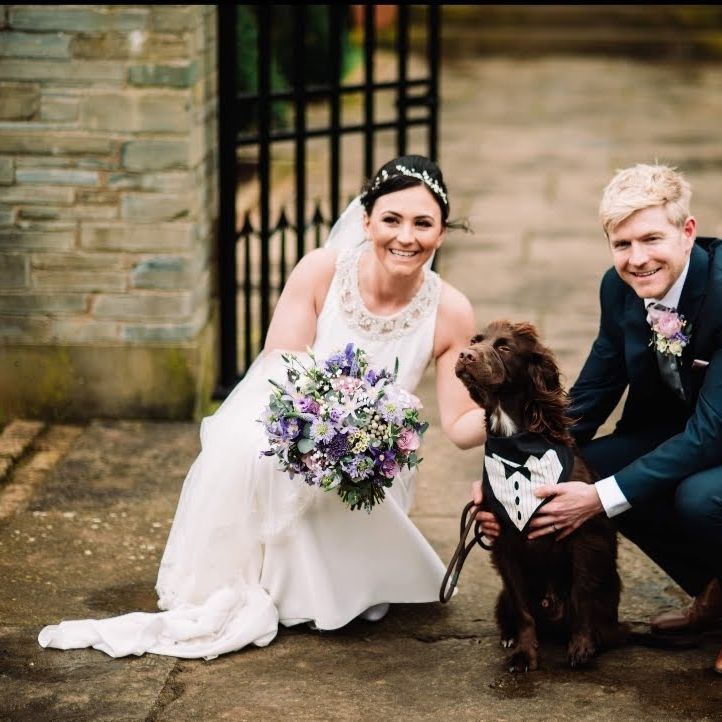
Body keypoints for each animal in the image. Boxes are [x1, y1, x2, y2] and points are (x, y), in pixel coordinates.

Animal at [455, 319, 627, 672]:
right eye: (475, 340)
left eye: (505, 347)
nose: (465, 354)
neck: (515, 443)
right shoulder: (504, 542)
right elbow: (523, 610)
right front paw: (523, 653)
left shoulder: (585, 536)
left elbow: (581, 594)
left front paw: (582, 647)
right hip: (502, 597)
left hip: (611, 583)